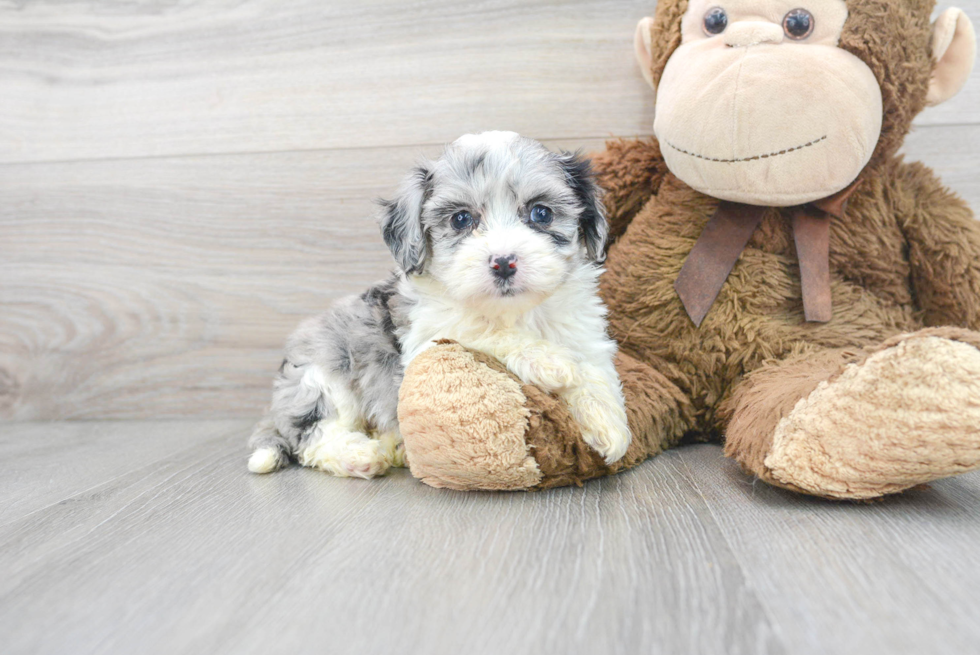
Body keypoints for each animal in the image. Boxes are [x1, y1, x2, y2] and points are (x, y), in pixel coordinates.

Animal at [249, 131, 632, 480]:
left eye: (541, 213)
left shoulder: (582, 330)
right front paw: (548, 360)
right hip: (324, 375)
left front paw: (608, 423)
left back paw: (394, 446)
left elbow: (595, 371)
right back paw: (360, 455)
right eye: (461, 219)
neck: (513, 311)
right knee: (313, 435)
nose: (504, 262)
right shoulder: (427, 335)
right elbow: (483, 331)